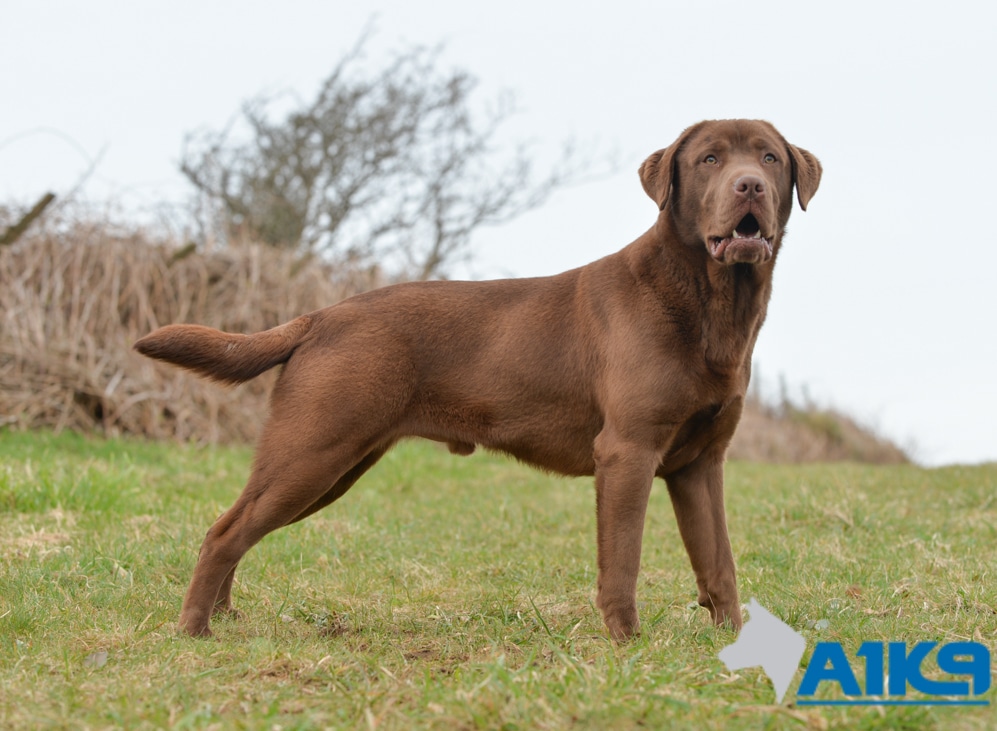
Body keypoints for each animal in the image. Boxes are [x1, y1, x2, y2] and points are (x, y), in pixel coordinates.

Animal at [134, 120, 816, 640]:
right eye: (708, 159)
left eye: (769, 158)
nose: (749, 185)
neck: (710, 303)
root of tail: (320, 316)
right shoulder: (628, 451)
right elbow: (622, 561)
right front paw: (626, 643)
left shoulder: (699, 463)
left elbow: (719, 563)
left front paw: (736, 641)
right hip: (315, 452)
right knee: (225, 532)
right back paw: (193, 631)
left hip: (331, 463)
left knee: (237, 528)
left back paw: (225, 618)